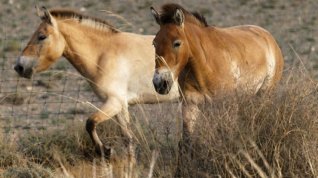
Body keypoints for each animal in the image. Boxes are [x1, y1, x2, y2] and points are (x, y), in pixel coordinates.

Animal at [14, 6, 179, 172]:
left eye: (41, 36)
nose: (19, 67)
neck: (104, 54)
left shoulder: (115, 102)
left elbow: (90, 122)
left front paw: (105, 151)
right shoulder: (120, 106)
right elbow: (127, 137)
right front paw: (129, 167)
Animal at [150, 3, 284, 177]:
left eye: (177, 43)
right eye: (154, 43)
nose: (160, 83)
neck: (204, 64)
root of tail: (268, 36)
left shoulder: (226, 106)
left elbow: (225, 138)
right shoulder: (190, 104)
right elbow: (186, 142)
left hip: (265, 94)